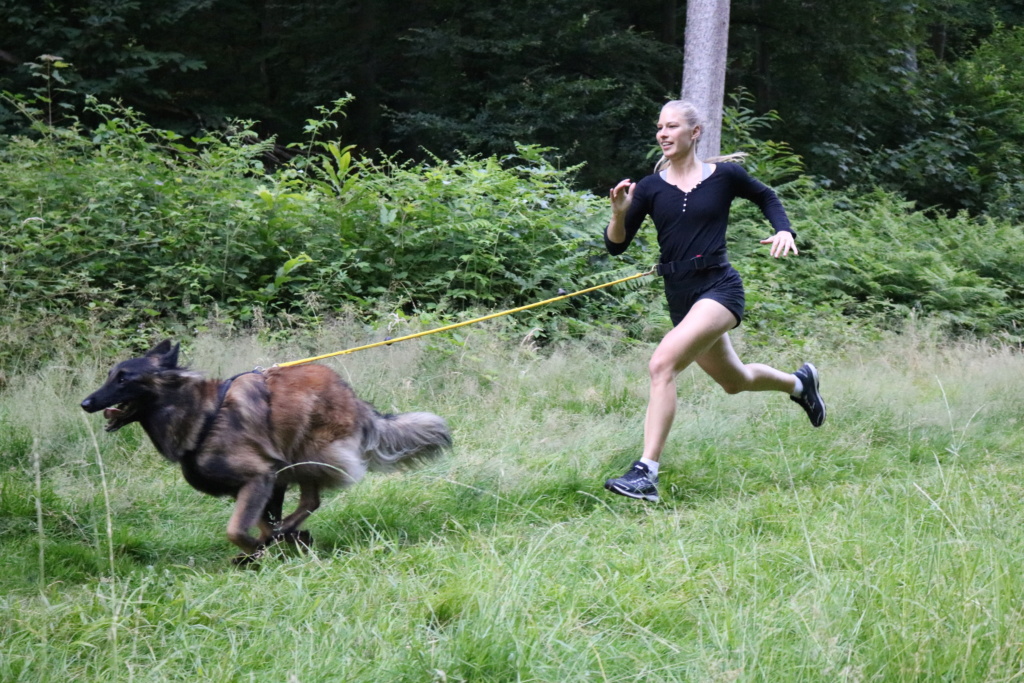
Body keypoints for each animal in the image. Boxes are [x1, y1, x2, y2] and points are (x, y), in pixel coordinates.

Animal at [79, 339, 448, 565]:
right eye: (111, 375)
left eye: (124, 379)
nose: (85, 403)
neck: (202, 415)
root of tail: (354, 399)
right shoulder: (259, 483)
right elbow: (258, 522)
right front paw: (269, 544)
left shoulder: (259, 477)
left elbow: (236, 530)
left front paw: (259, 551)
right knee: (305, 503)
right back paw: (289, 532)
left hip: (307, 451)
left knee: (311, 499)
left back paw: (288, 531)